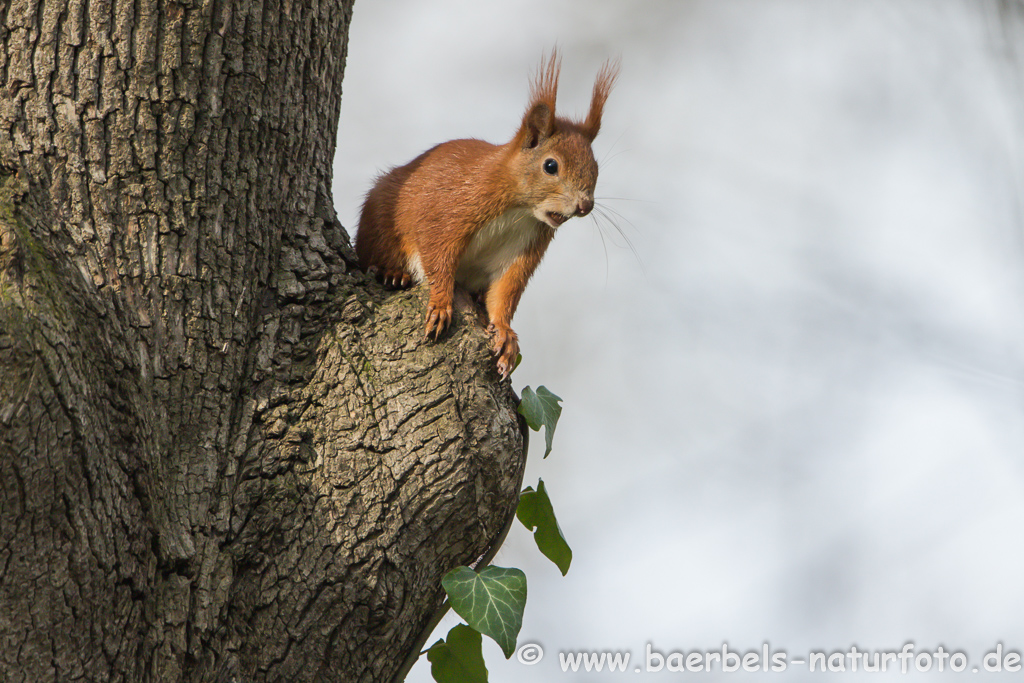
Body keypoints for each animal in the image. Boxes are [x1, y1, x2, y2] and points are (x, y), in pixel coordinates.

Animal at [356, 50, 618, 376]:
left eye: (595, 167)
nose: (585, 205)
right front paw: (440, 303)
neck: (519, 211)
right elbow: (438, 258)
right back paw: (393, 273)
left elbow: (506, 290)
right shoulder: (451, 211)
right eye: (550, 165)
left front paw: (505, 333)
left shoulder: (525, 246)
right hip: (380, 216)